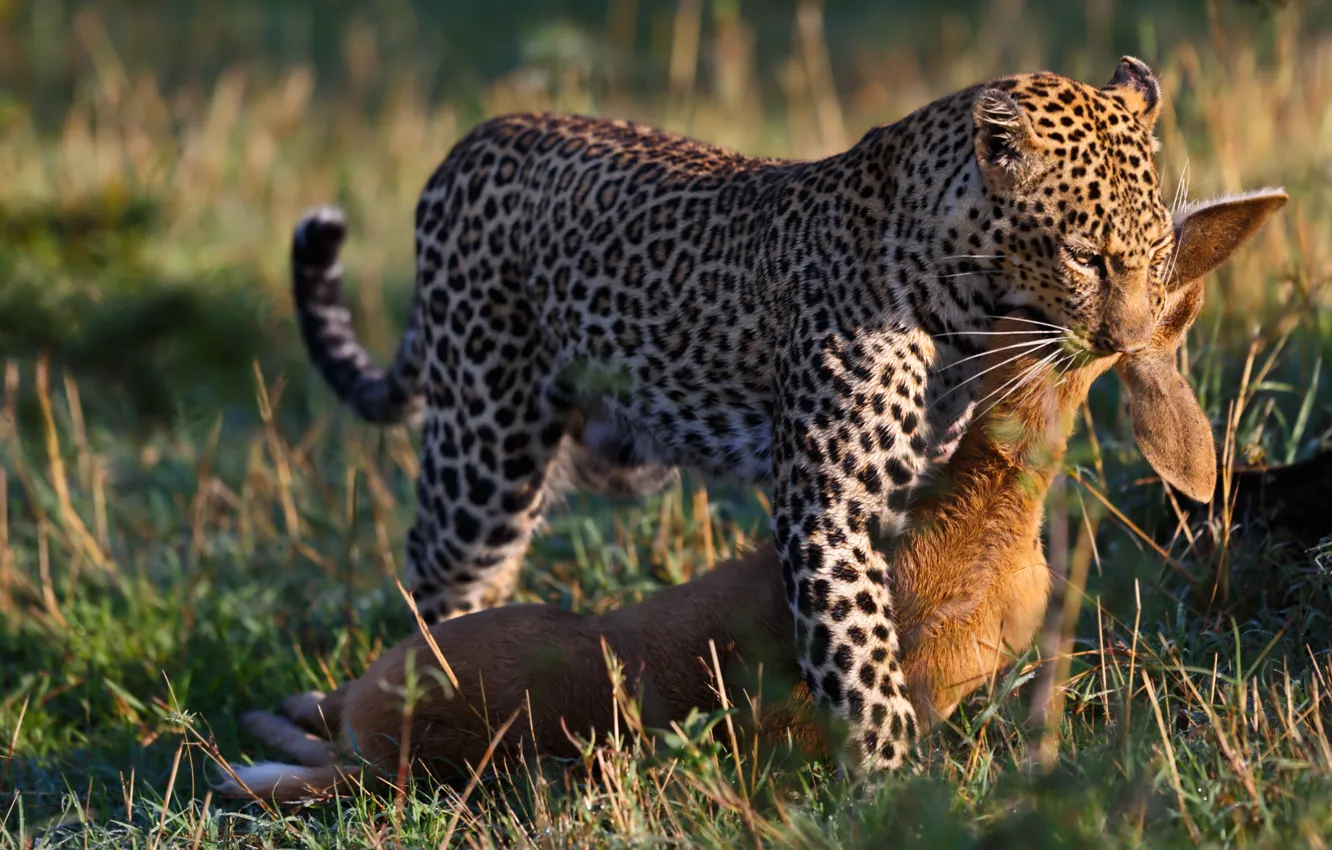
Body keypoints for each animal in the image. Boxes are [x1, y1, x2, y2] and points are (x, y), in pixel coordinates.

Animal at [289, 56, 1175, 778]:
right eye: (1086, 256)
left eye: (1160, 251)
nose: (1131, 342)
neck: (961, 299)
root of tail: (470, 142)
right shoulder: (829, 509)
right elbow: (860, 662)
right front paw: (891, 788)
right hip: (484, 453)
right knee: (439, 573)